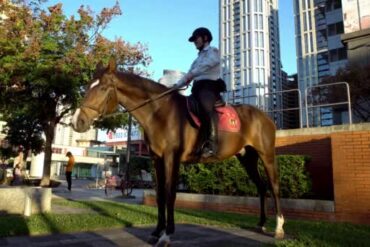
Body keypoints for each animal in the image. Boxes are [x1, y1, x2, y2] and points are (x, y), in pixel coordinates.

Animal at [71, 59, 286, 245]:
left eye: (102, 88)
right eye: (88, 86)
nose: (77, 121)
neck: (159, 112)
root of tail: (265, 117)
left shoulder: (171, 158)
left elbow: (170, 194)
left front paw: (167, 234)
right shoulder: (157, 160)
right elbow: (160, 196)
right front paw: (156, 232)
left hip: (267, 155)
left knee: (274, 187)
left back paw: (279, 228)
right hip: (247, 158)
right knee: (261, 187)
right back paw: (261, 224)